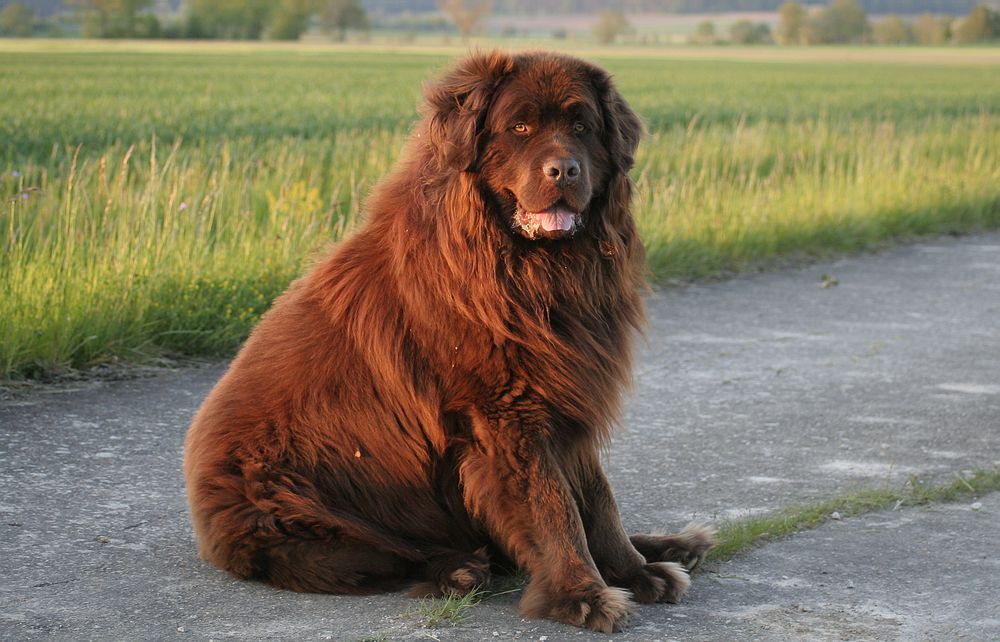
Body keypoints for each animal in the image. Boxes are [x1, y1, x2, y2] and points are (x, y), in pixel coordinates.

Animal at [184, 51, 716, 632]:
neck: (531, 270)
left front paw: (635, 571)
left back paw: (673, 546)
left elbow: (598, 500)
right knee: (389, 554)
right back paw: (459, 569)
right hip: (302, 505)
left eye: (582, 128)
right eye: (520, 127)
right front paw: (583, 595)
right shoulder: (507, 416)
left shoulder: (568, 398)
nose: (564, 170)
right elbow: (555, 507)